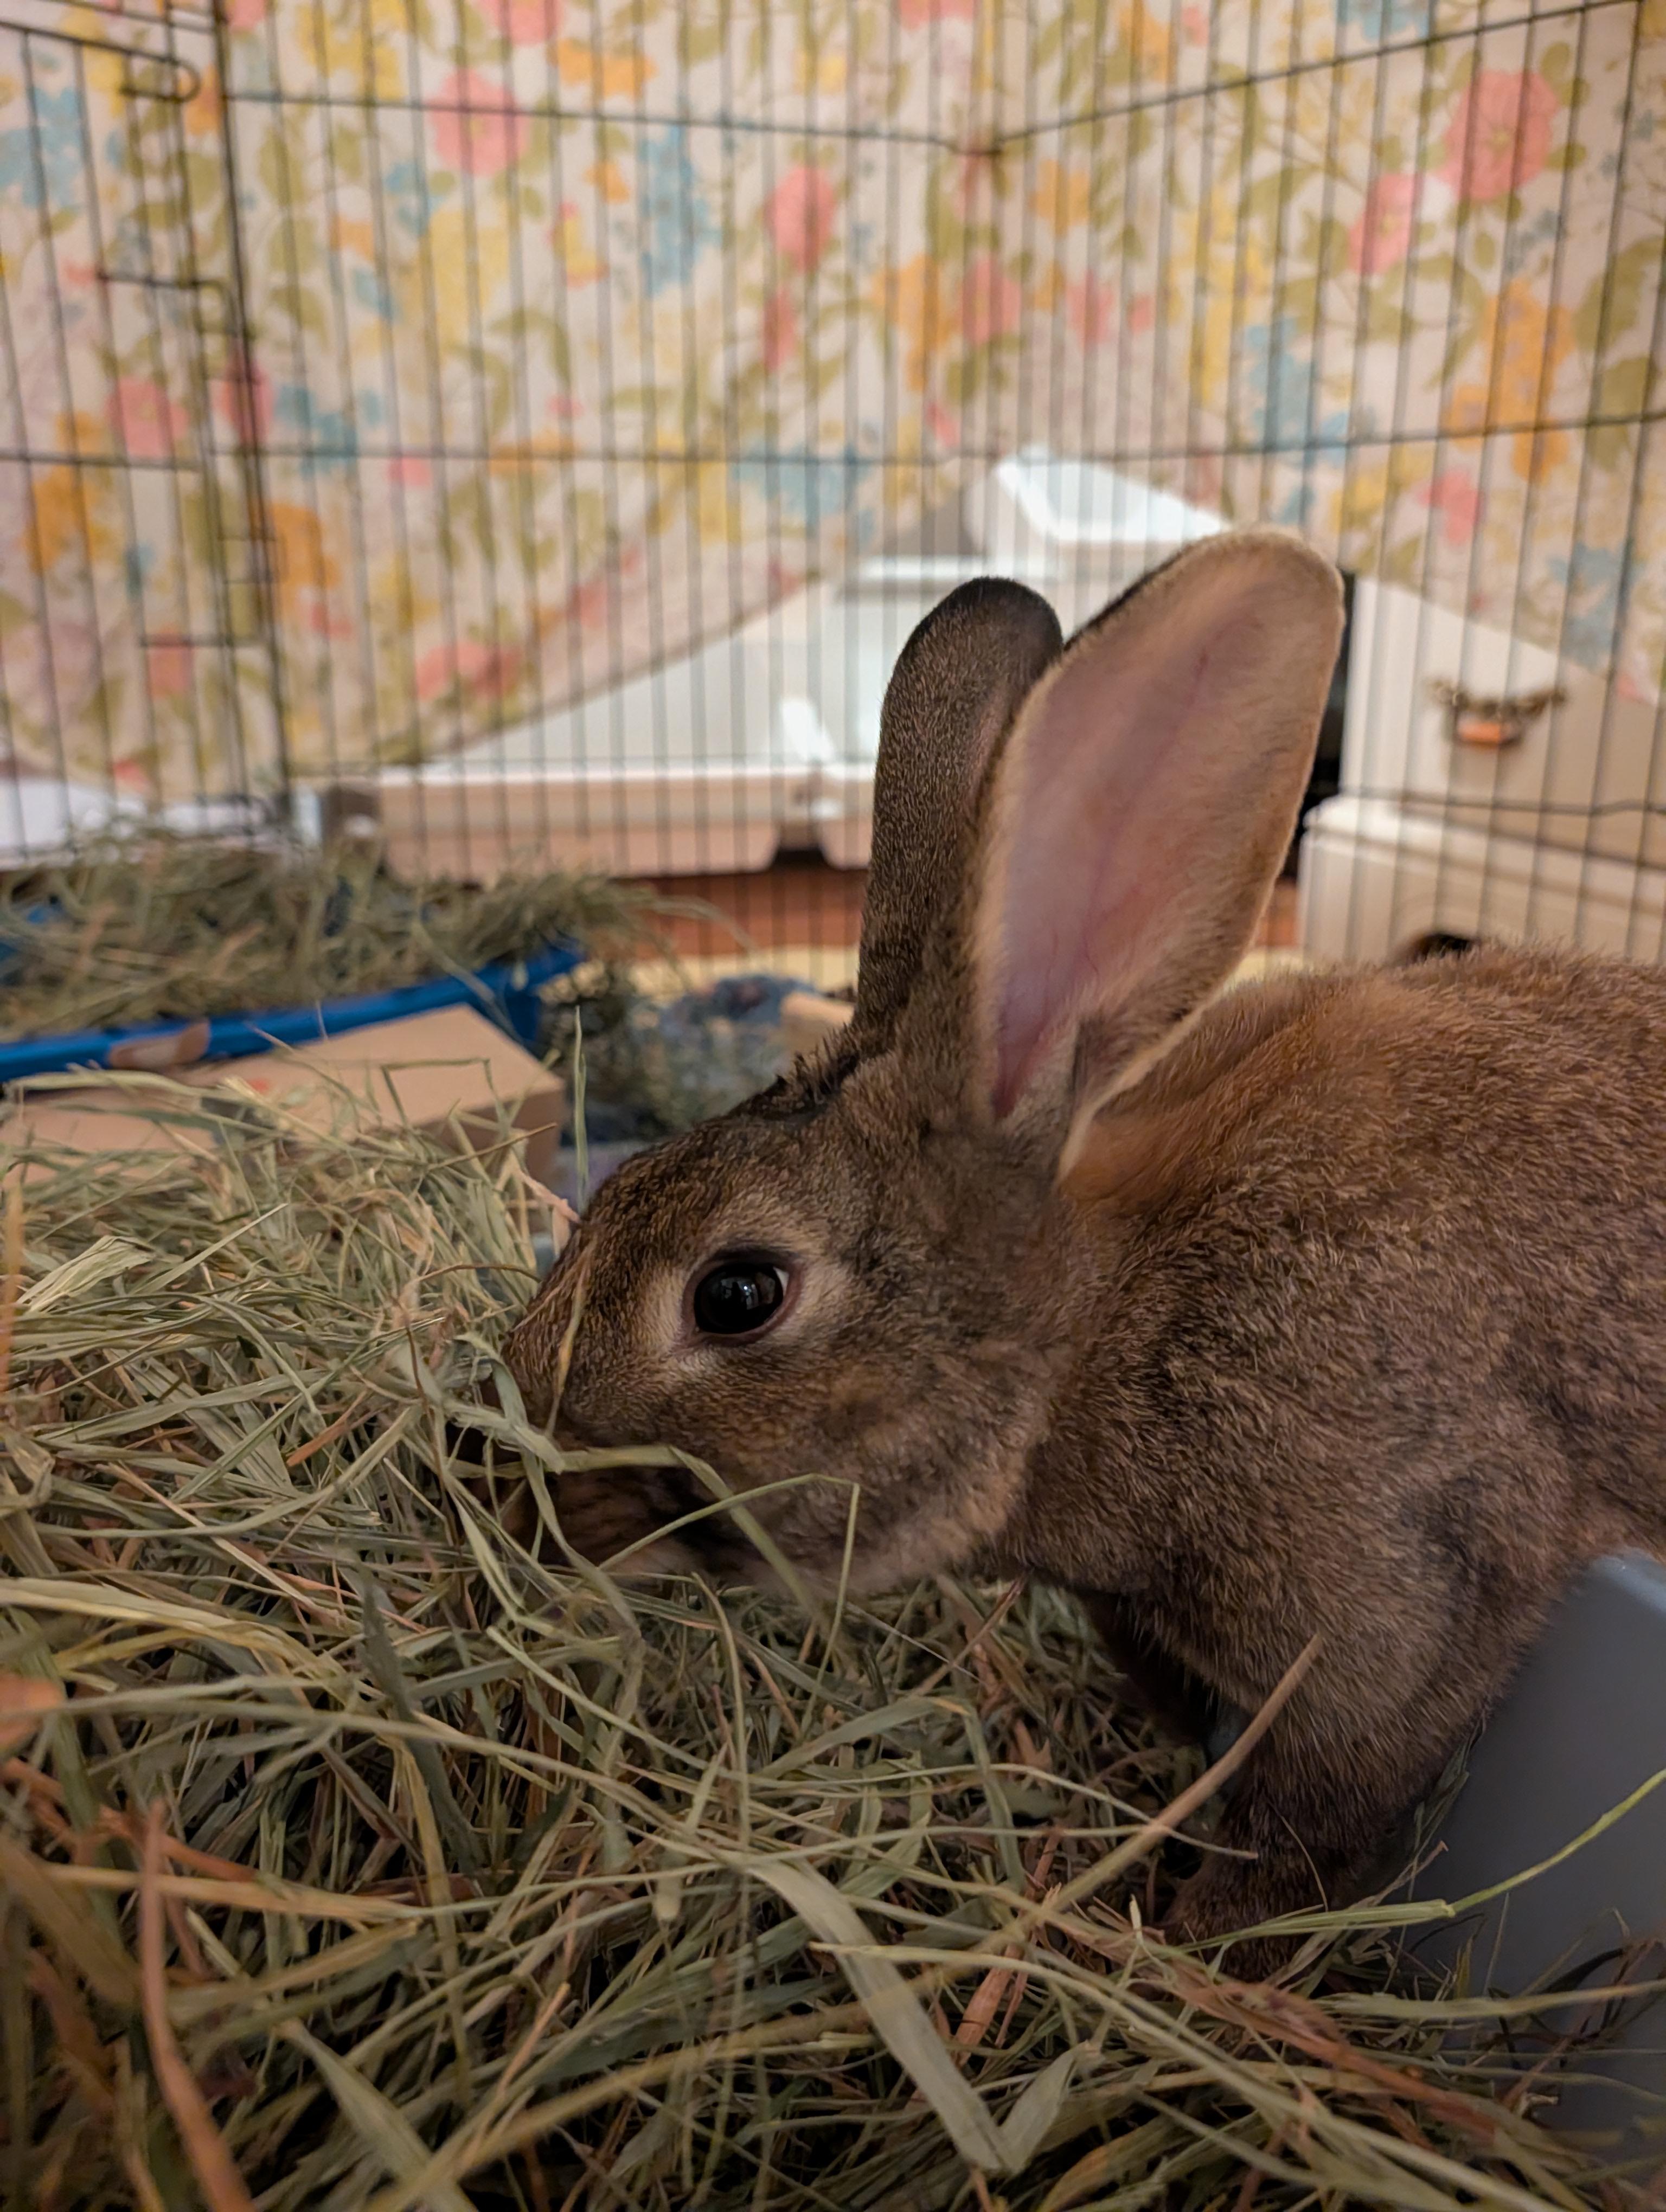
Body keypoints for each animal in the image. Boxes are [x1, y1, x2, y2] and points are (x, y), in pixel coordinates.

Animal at [502, 530, 1666, 1967]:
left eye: (736, 1293)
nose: (525, 1502)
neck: (1093, 1330)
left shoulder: (1391, 1613)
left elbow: (1312, 1810)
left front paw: (1196, 1941)